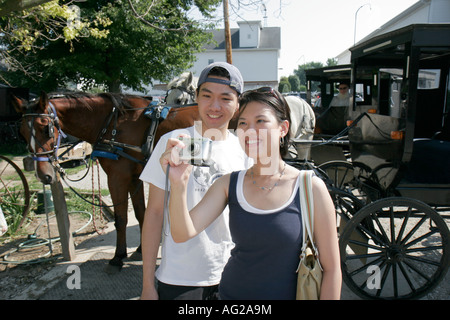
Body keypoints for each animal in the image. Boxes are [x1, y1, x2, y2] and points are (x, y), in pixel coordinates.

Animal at [12, 90, 199, 272]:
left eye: (46, 128)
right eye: (22, 132)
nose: (43, 175)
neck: (114, 123)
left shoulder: (117, 177)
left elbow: (121, 219)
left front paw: (118, 256)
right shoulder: (134, 178)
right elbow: (141, 214)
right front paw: (141, 249)